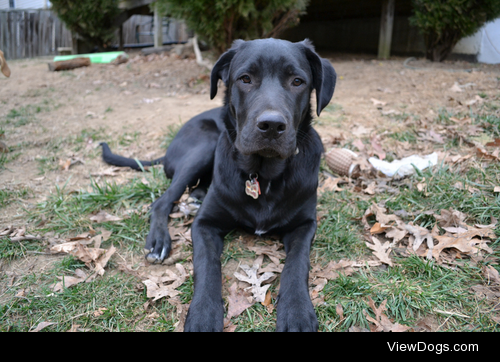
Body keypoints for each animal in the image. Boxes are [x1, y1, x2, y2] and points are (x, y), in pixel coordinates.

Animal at [100, 39, 336, 330]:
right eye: (245, 79)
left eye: (297, 81)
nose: (271, 125)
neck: (263, 175)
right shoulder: (204, 225)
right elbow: (207, 266)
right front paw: (203, 313)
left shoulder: (305, 225)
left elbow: (297, 263)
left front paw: (297, 311)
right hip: (204, 145)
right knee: (162, 201)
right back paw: (159, 240)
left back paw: (197, 196)